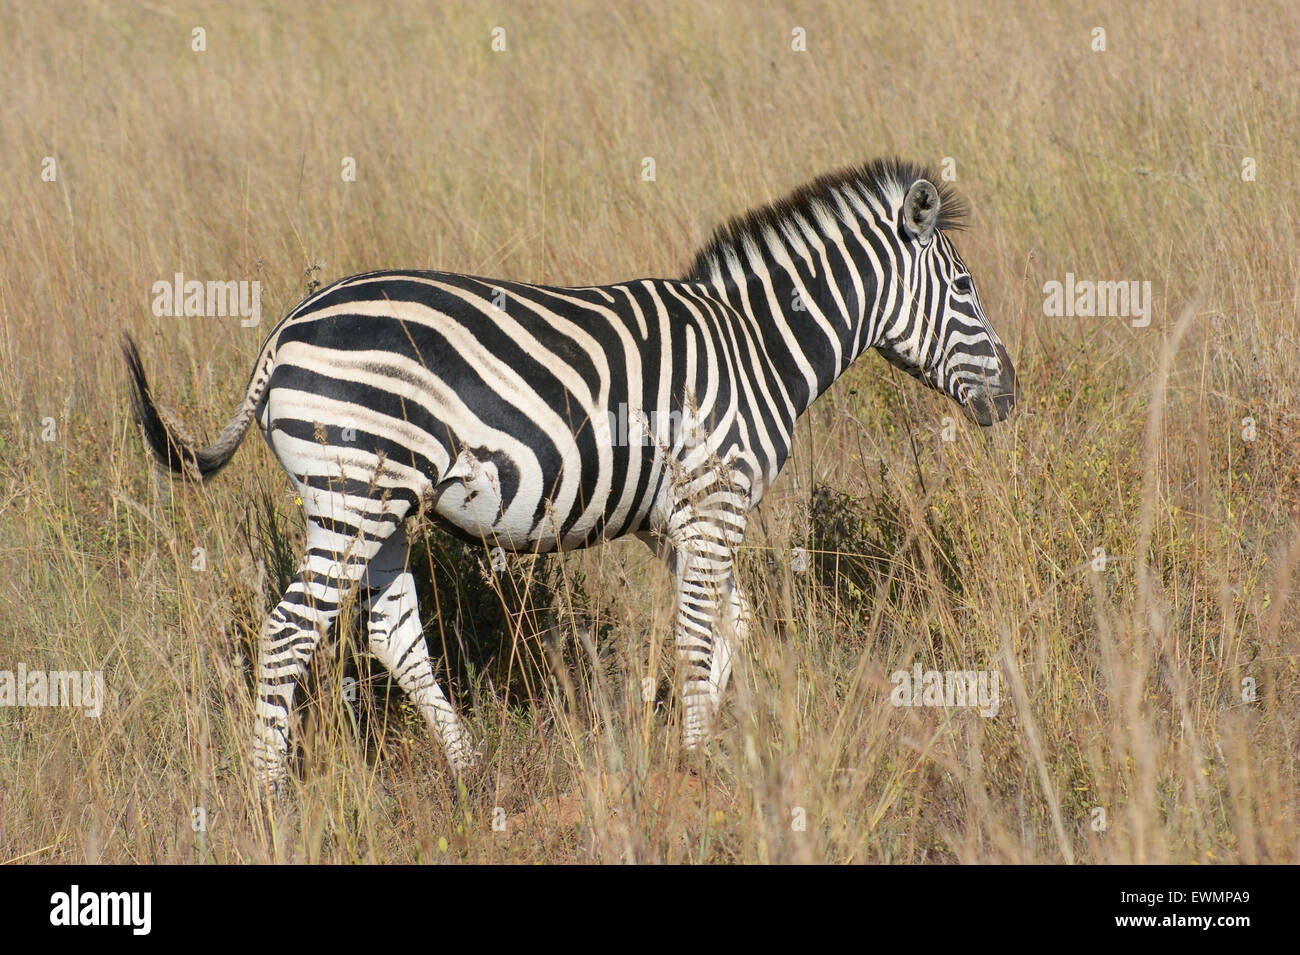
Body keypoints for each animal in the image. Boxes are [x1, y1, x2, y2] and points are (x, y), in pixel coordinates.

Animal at [122, 160, 1013, 795]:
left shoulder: (678, 521)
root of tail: (283, 331)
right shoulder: (714, 501)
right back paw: (269, 796)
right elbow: (699, 632)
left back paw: (472, 773)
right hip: (354, 494)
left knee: (391, 633)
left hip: (383, 505)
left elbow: (734, 623)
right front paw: (697, 756)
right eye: (966, 287)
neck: (758, 345)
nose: (1010, 392)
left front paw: (709, 734)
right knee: (287, 633)